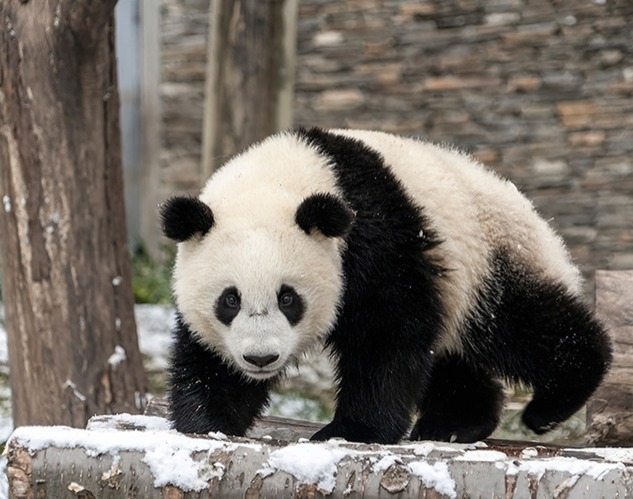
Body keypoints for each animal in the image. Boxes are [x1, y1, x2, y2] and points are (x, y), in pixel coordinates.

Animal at [160, 128, 608, 446]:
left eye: (288, 298)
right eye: (229, 300)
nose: (260, 358)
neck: (281, 179)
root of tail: (535, 217)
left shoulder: (375, 235)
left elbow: (388, 333)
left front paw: (353, 430)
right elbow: (207, 358)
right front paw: (209, 420)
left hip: (488, 256)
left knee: (522, 325)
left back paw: (551, 404)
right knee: (452, 354)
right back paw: (455, 422)